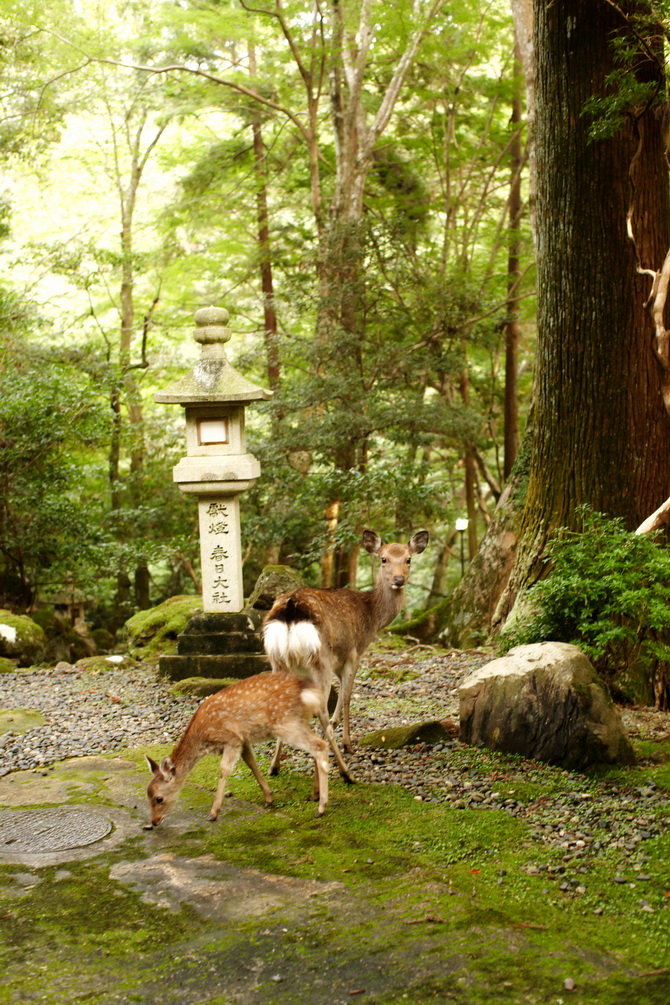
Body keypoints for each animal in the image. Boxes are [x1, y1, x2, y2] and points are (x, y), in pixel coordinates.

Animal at [144, 667, 329, 824]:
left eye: (159, 798)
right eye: (147, 795)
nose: (153, 822)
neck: (203, 735)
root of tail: (308, 691)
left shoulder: (231, 739)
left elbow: (224, 770)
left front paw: (213, 813)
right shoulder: (243, 740)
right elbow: (251, 763)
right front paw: (268, 798)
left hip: (286, 723)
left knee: (320, 745)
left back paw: (321, 807)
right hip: (299, 721)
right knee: (318, 746)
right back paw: (315, 794)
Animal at [261, 526, 429, 767]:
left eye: (408, 559)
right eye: (383, 559)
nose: (398, 579)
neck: (372, 617)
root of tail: (291, 607)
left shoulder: (339, 660)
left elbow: (341, 695)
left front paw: (335, 725)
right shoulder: (354, 653)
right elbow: (348, 696)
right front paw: (348, 744)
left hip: (277, 659)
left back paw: (275, 766)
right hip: (319, 658)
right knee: (320, 708)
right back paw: (340, 766)